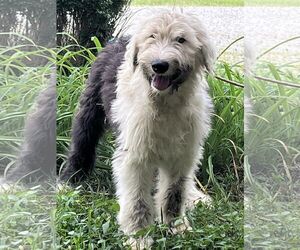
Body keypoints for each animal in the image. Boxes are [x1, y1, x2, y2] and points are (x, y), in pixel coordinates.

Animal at [61, 10, 216, 246]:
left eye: (181, 39)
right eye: (152, 36)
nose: (159, 65)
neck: (163, 104)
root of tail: (120, 39)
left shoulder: (183, 154)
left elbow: (174, 192)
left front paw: (176, 225)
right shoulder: (135, 156)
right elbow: (137, 200)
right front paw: (138, 237)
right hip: (90, 109)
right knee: (82, 143)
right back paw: (70, 180)